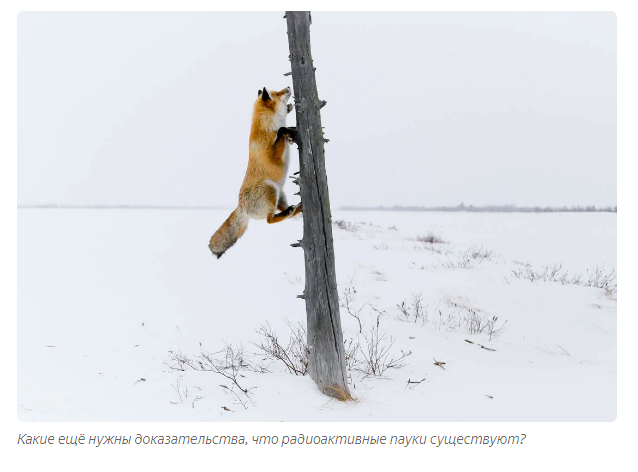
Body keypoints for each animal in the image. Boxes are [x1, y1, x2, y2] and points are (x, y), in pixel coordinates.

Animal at [208, 86, 302, 260]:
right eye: (278, 93)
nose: (288, 87)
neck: (267, 126)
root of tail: (241, 205)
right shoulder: (273, 155)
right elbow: (281, 131)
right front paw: (286, 131)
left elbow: (284, 132)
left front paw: (291, 134)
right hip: (270, 190)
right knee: (269, 220)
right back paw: (290, 210)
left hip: (279, 195)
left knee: (287, 214)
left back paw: (298, 207)